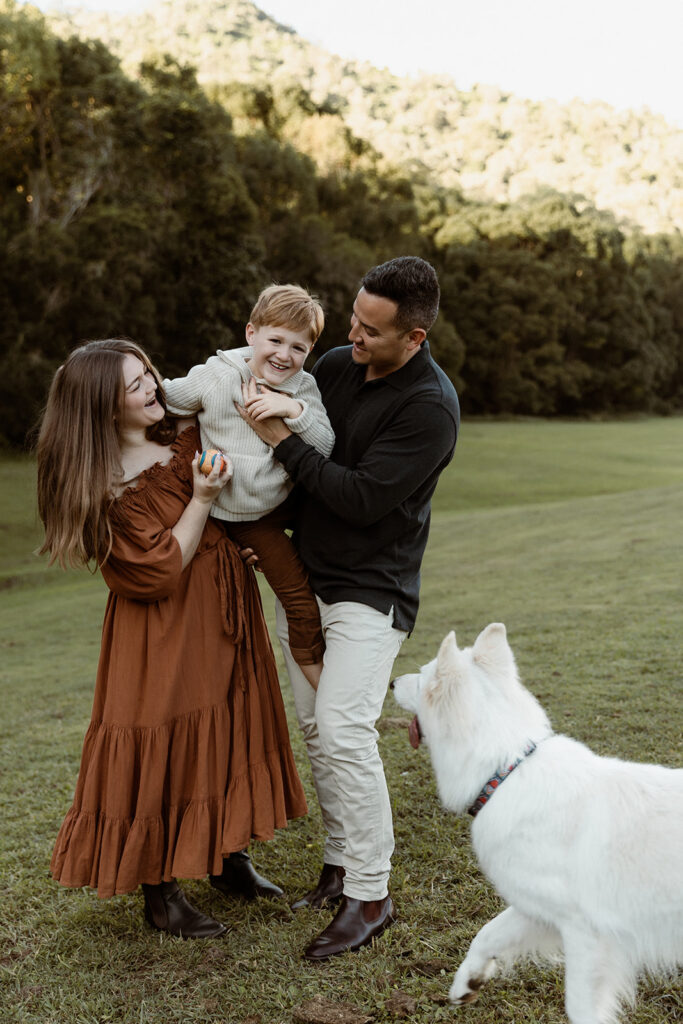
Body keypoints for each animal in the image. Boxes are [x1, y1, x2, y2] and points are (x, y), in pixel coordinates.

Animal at [389, 622, 683, 1024]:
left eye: (420, 676)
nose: (391, 682)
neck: (504, 770)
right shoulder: (537, 909)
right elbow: (488, 932)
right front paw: (467, 981)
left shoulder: (586, 933)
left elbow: (580, 1007)